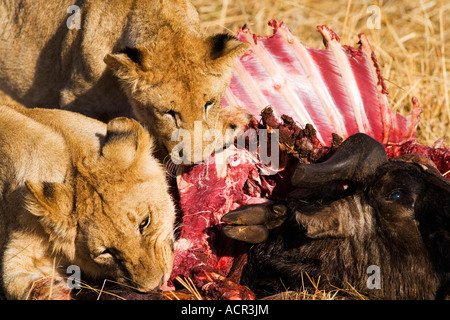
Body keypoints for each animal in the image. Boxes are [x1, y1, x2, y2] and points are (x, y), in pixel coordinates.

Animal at [0, 104, 176, 300]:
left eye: (145, 222)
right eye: (105, 252)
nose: (155, 286)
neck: (72, 157)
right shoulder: (21, 237)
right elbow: (11, 276)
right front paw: (49, 291)